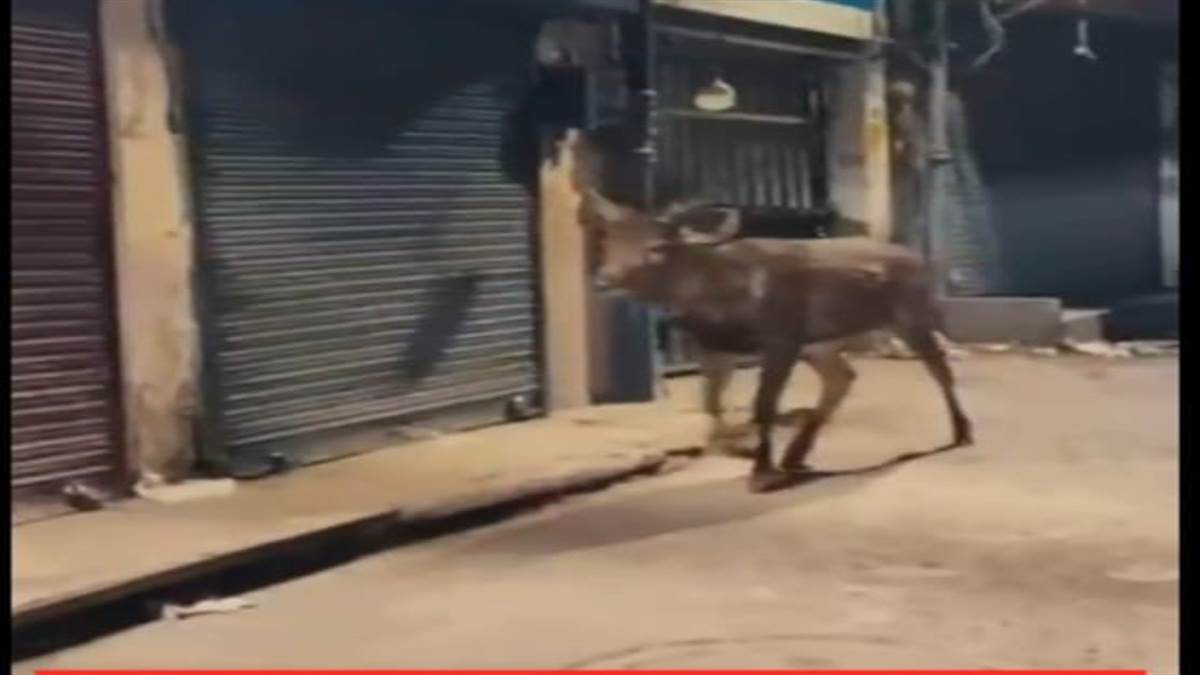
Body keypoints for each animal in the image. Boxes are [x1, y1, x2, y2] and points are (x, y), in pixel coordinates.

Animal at [579, 190, 973, 493]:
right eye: (609, 240)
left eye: (658, 246)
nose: (604, 280)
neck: (728, 293)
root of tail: (919, 259)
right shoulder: (715, 348)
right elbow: (712, 403)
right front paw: (735, 449)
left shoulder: (781, 337)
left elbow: (764, 404)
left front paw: (762, 472)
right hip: (821, 344)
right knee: (842, 378)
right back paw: (796, 455)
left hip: (911, 317)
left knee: (940, 369)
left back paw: (962, 432)